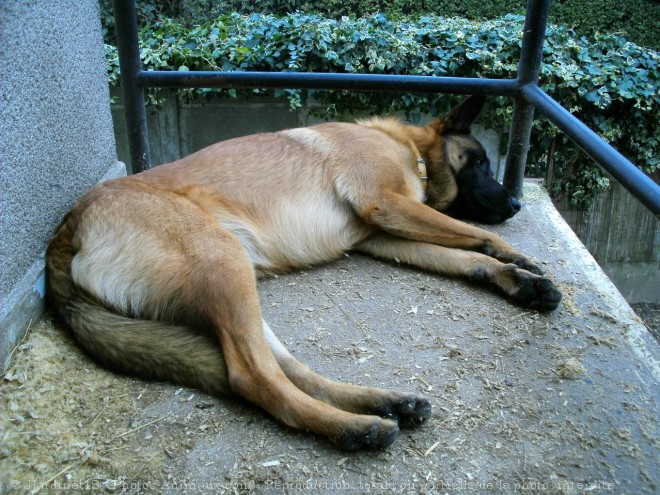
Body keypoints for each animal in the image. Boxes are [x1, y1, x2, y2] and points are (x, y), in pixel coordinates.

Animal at [46, 95, 564, 452]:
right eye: (480, 162)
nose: (517, 204)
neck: (407, 148)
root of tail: (69, 226)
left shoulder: (383, 235)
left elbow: (465, 254)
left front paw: (519, 279)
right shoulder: (386, 204)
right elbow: (468, 232)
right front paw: (518, 257)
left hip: (232, 281)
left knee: (288, 367)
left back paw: (385, 402)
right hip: (224, 262)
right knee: (254, 376)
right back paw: (357, 428)